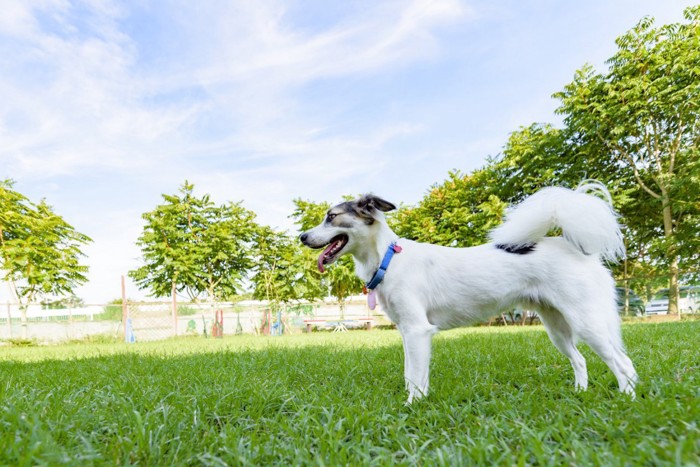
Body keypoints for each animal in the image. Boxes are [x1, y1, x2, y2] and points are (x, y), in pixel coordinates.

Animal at [298, 185, 636, 404]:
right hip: (557, 328)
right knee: (580, 360)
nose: (301, 236)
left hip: (586, 323)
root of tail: (576, 248)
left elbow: (415, 377)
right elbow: (411, 374)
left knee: (623, 363)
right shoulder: (408, 332)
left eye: (331, 217)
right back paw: (580, 393)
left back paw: (627, 399)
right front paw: (416, 401)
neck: (388, 258)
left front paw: (412, 407)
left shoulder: (418, 331)